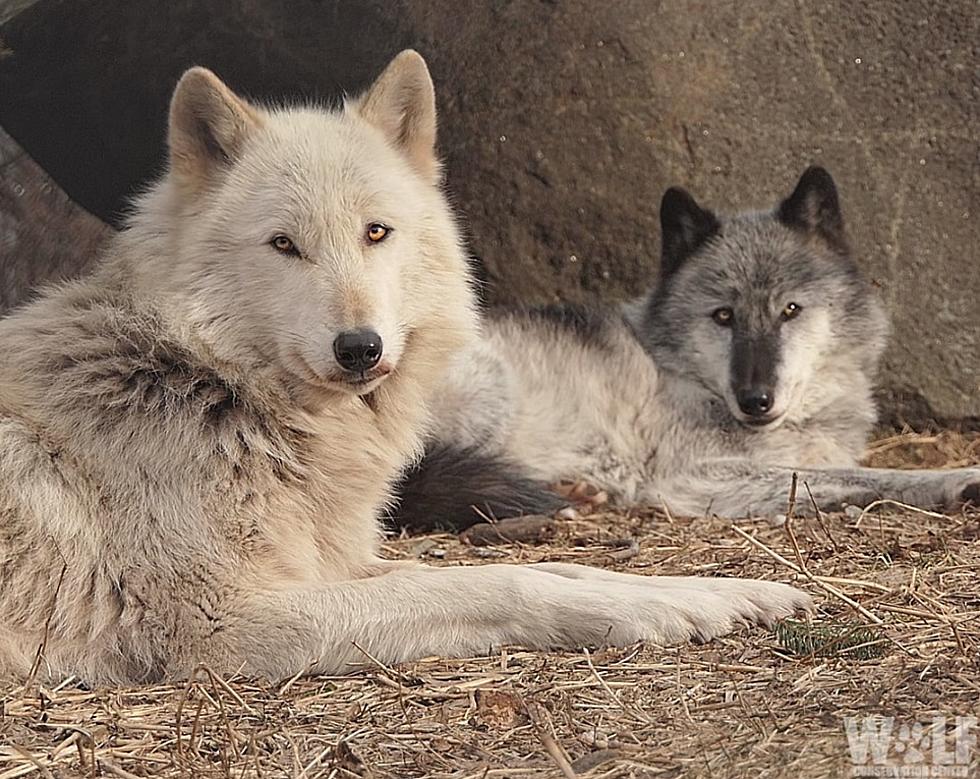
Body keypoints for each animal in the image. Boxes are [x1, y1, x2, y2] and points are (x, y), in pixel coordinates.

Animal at [0, 51, 808, 684]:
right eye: (285, 244)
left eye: (375, 232)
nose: (359, 348)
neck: (216, 387)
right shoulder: (229, 623)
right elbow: (505, 585)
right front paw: (661, 612)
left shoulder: (331, 566)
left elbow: (549, 568)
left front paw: (716, 590)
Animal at [398, 168, 980, 532]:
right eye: (723, 316)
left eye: (790, 310)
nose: (755, 400)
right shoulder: (692, 475)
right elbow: (863, 477)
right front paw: (960, 480)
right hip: (491, 387)